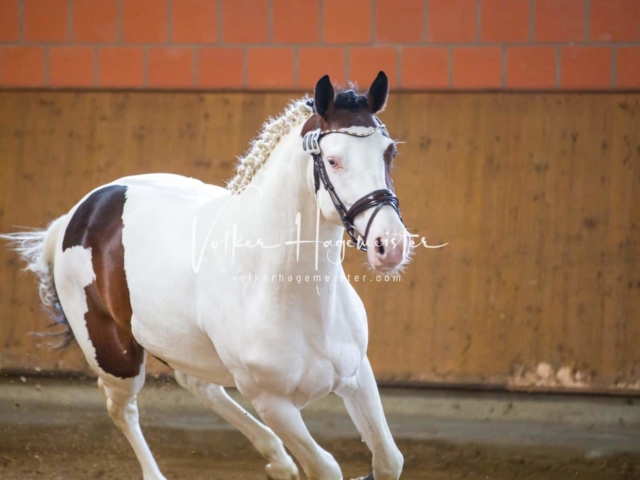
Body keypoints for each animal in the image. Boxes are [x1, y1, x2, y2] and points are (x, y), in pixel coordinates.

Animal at [3, 72, 410, 480]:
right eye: (333, 160)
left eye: (389, 152)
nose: (390, 245)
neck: (293, 295)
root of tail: (76, 215)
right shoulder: (273, 402)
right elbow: (326, 466)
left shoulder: (357, 376)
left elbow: (389, 460)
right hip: (115, 357)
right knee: (122, 409)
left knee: (197, 384)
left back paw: (278, 461)